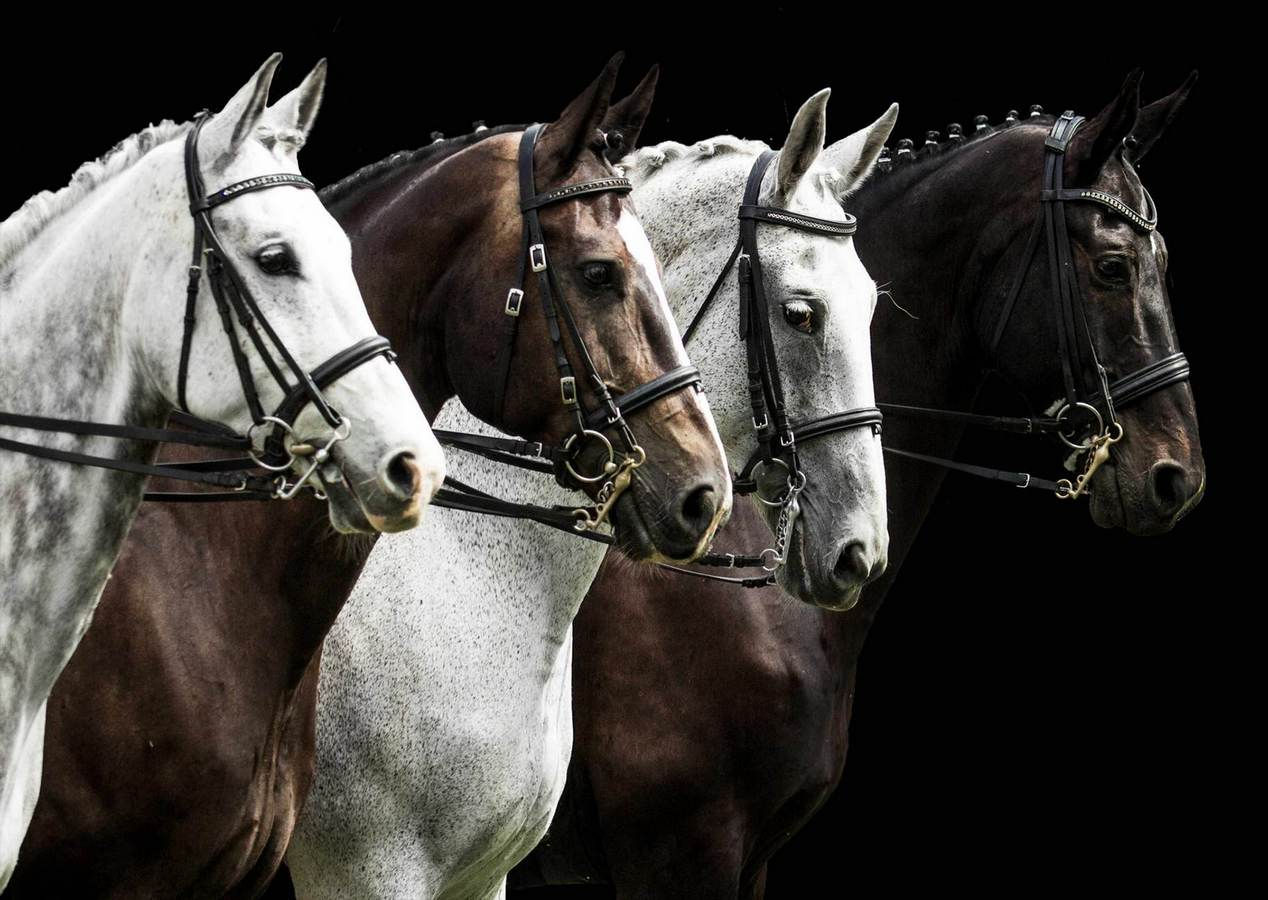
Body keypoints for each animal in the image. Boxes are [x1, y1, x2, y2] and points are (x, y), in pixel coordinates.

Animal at [285, 84, 895, 899]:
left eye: (870, 307)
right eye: (802, 313)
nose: (861, 549)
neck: (461, 574)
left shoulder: (484, 875)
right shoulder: (367, 872)